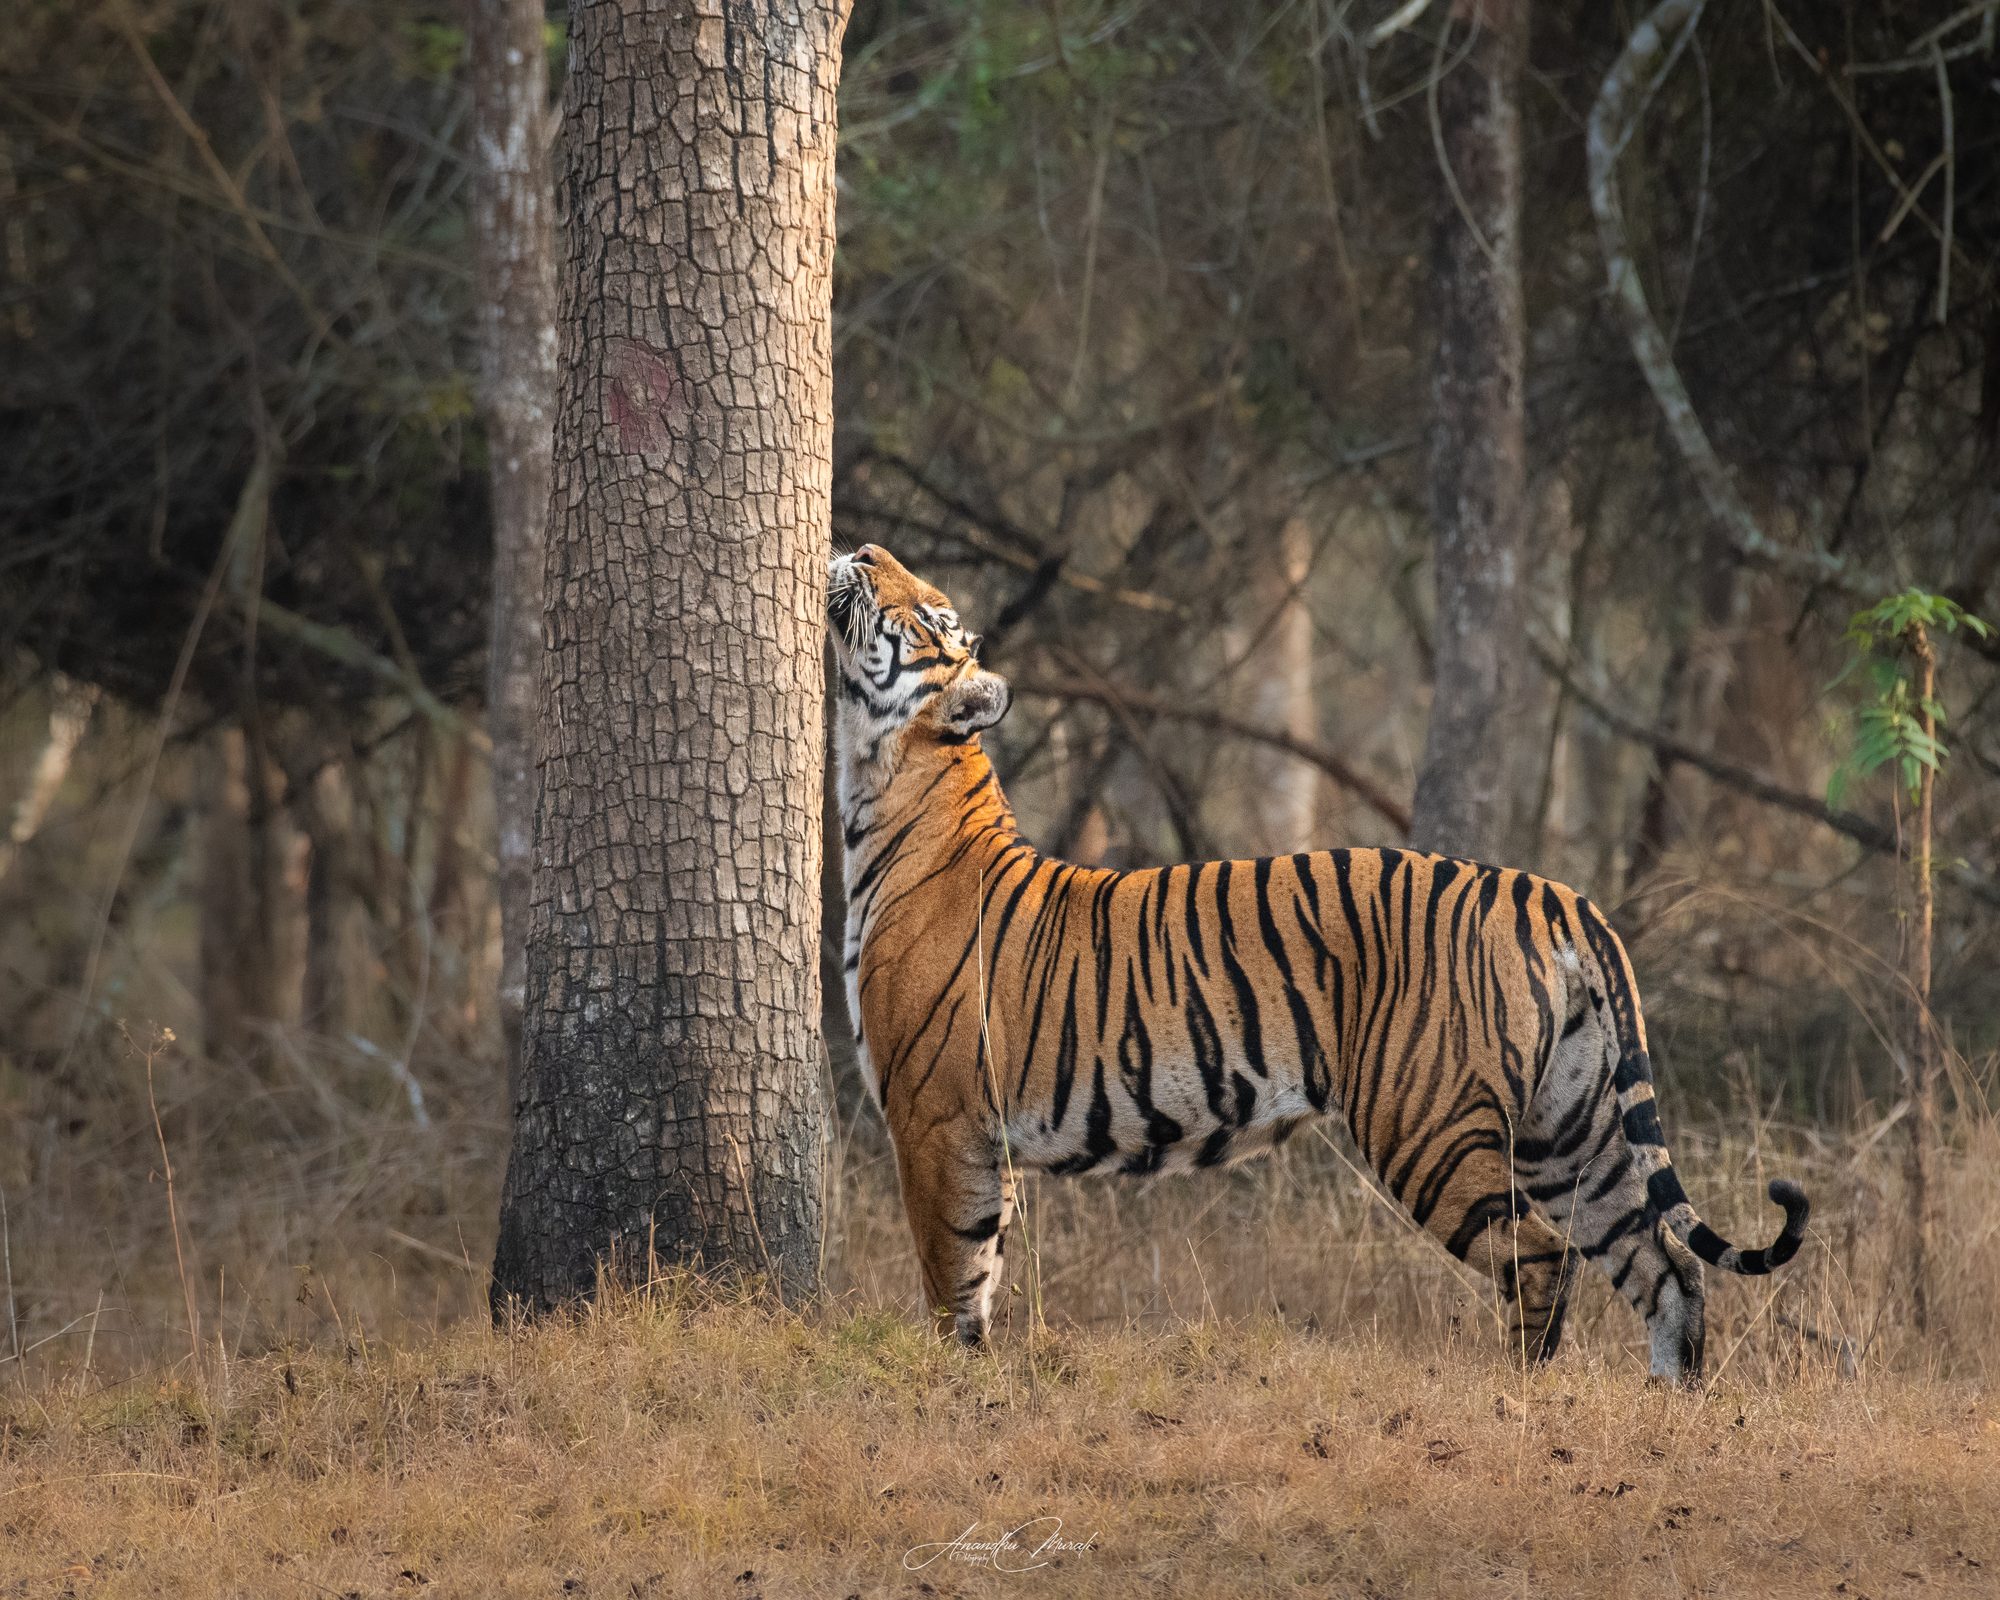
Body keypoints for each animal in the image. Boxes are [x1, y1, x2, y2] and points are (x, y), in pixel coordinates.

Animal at [827, 543, 1809, 1382]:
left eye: (928, 615)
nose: (865, 549)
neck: (884, 788)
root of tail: (1550, 891)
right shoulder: (974, 1131)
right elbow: (986, 1266)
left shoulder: (934, 1119)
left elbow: (951, 1273)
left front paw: (949, 1383)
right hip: (1571, 1126)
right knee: (1664, 1260)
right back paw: (1672, 1400)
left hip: (1429, 1128)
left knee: (1542, 1258)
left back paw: (1516, 1393)